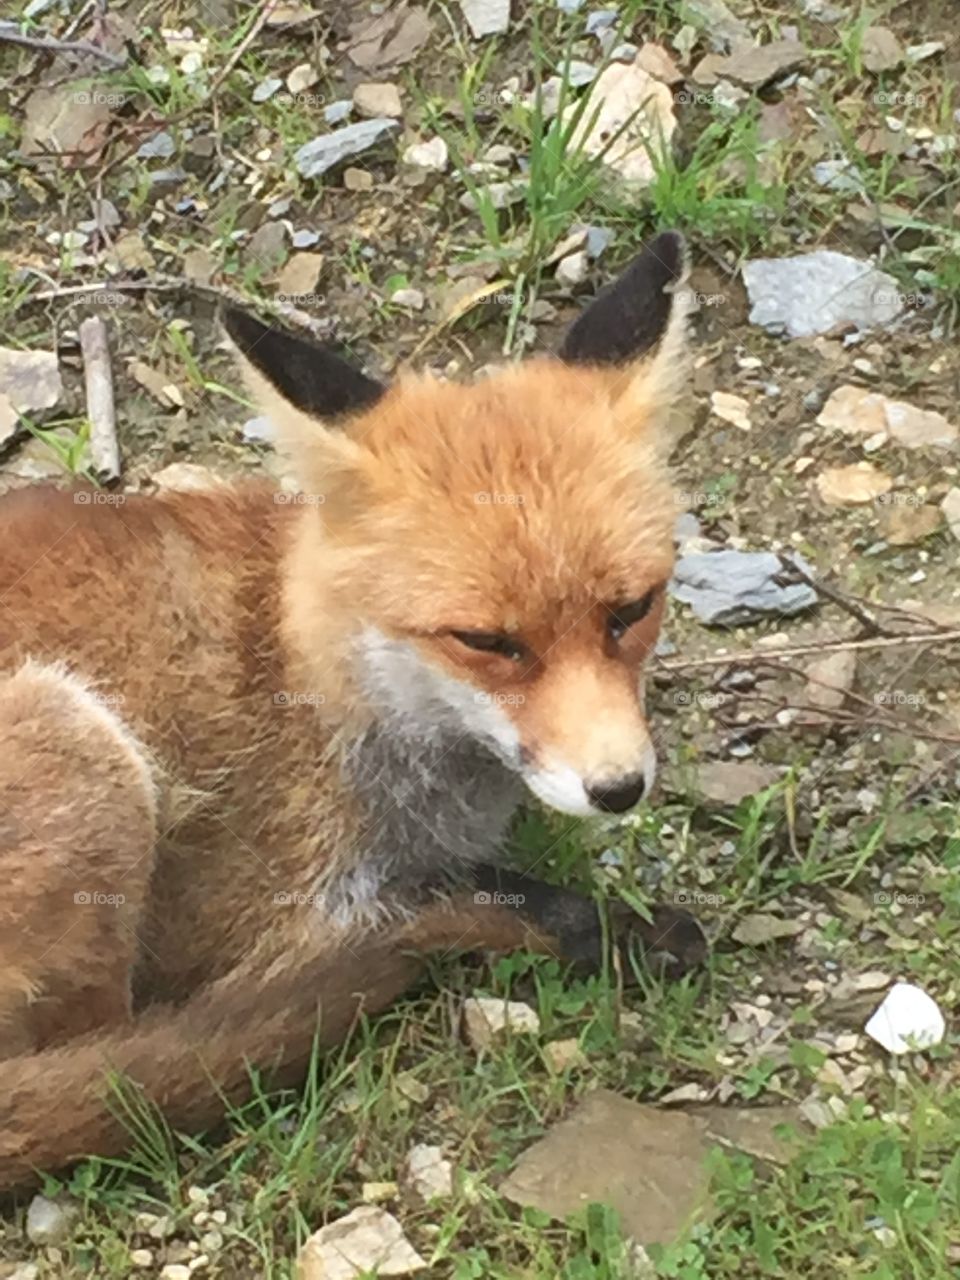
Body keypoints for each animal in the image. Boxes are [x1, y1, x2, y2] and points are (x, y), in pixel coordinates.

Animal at [0, 231, 705, 1187]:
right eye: (486, 641)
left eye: (630, 611)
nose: (620, 788)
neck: (308, 663)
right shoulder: (273, 921)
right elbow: (488, 898)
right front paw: (613, 927)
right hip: (87, 752)